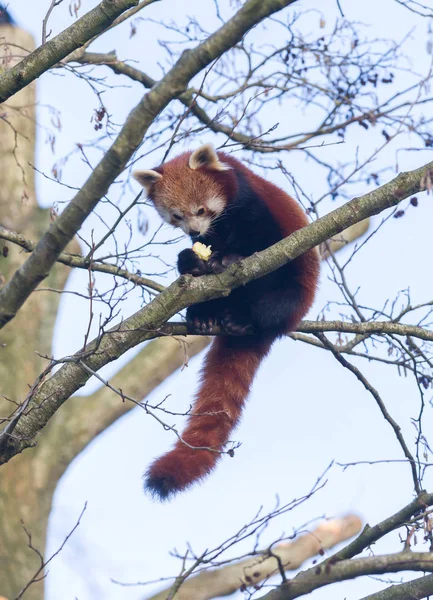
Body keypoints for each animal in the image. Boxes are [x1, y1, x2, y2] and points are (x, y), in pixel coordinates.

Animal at [132, 143, 318, 500]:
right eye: (176, 215)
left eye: (201, 209)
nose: (194, 231)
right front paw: (194, 259)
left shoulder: (256, 208)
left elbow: (264, 243)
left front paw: (230, 258)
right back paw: (204, 314)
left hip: (295, 294)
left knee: (274, 300)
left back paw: (244, 318)